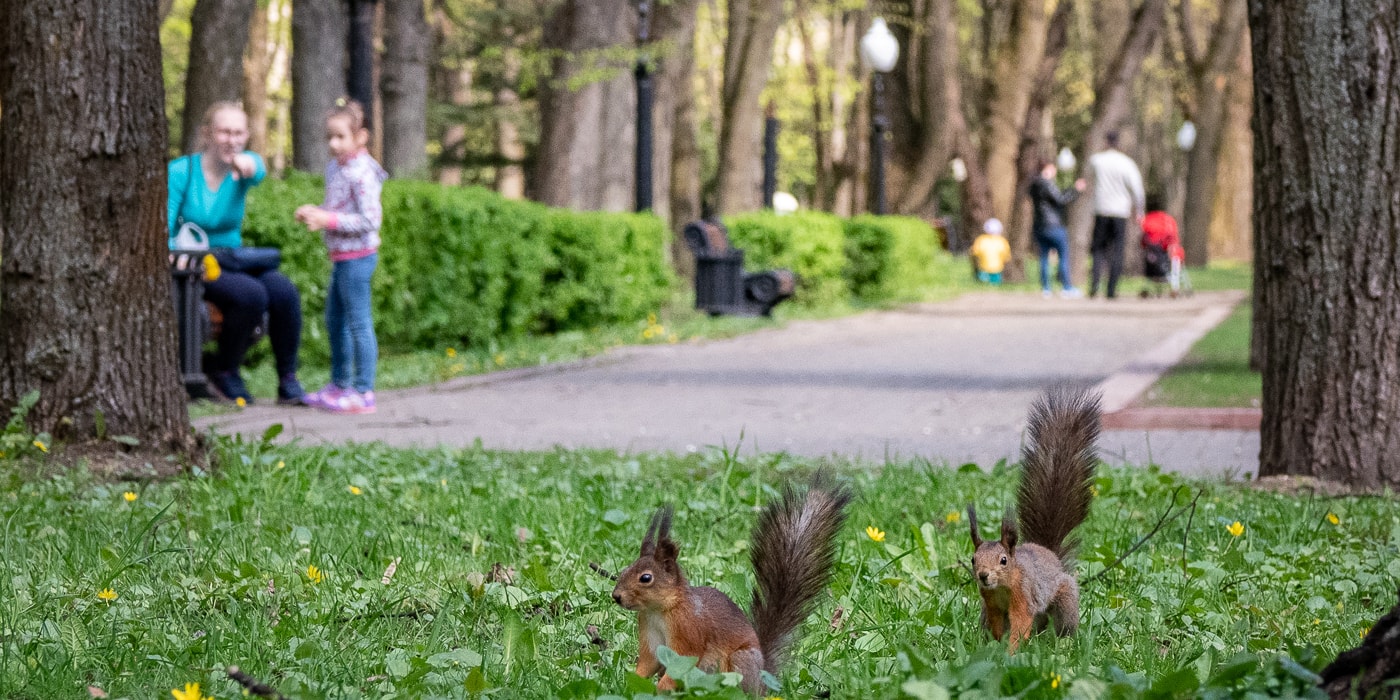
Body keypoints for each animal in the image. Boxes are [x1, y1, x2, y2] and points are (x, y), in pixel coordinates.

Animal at [968, 386, 1097, 652]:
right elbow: (998, 624)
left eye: (1004, 560)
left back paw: (1064, 643)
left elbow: (1021, 621)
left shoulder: (1024, 596)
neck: (1002, 587)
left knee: (1059, 622)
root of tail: (1049, 553)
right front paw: (996, 646)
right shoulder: (991, 604)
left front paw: (1010, 652)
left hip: (1064, 597)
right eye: (973, 560)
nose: (983, 576)